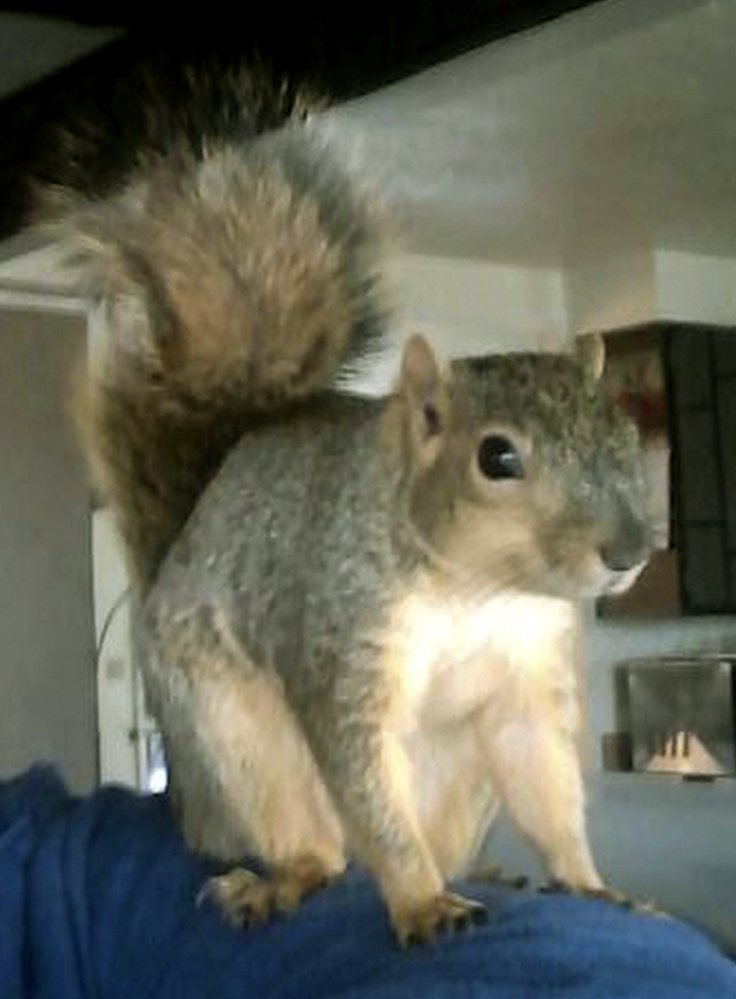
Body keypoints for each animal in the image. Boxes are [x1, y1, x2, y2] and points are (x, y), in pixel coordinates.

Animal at [42, 65, 652, 946]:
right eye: (496, 457)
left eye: (629, 428)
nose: (630, 552)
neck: (481, 588)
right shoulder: (340, 633)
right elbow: (368, 788)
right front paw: (424, 902)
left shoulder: (526, 678)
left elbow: (547, 785)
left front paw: (592, 885)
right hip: (238, 742)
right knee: (322, 849)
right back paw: (283, 880)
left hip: (461, 779)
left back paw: (485, 869)